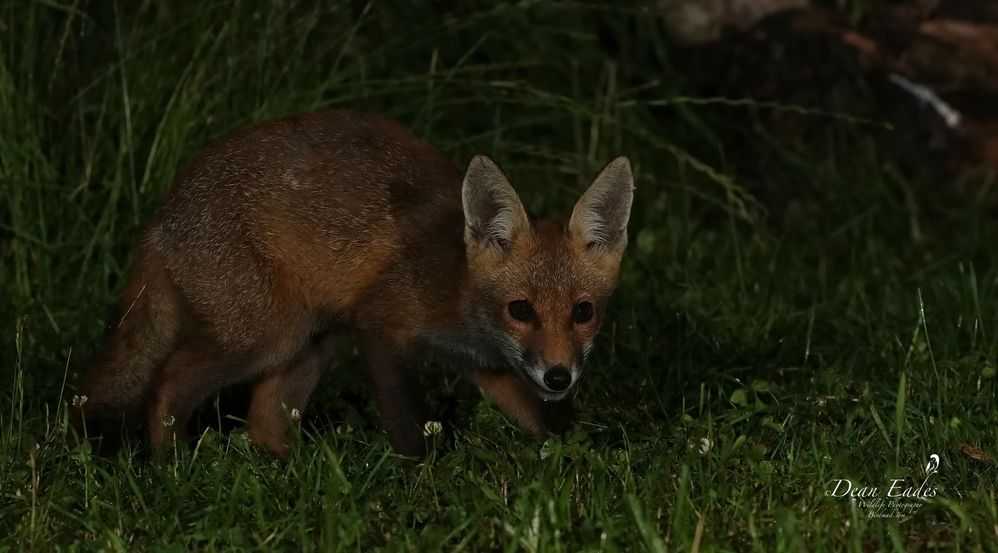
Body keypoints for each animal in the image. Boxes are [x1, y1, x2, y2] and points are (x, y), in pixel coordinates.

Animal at [76, 109, 632, 458]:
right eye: (521, 310)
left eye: (583, 312)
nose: (559, 377)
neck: (458, 288)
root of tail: (160, 217)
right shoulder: (380, 324)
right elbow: (410, 428)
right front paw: (425, 483)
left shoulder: (489, 367)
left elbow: (548, 425)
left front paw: (577, 461)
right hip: (269, 333)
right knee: (168, 382)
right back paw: (172, 466)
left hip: (316, 337)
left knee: (263, 417)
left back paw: (289, 473)